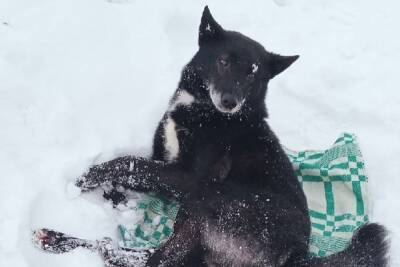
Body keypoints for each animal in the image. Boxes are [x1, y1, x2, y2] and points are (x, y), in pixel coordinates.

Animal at [34, 6, 388, 267]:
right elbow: (139, 170)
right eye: (224, 61)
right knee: (129, 253)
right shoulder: (164, 161)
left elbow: (129, 162)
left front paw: (86, 179)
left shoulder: (187, 177)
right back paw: (54, 238)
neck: (205, 111)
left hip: (212, 200)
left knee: (150, 259)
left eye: (253, 73)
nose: (230, 101)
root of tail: (297, 256)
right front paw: (115, 195)